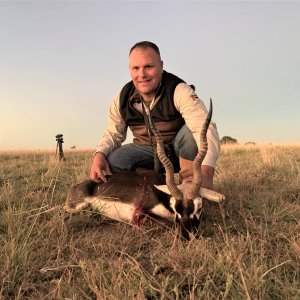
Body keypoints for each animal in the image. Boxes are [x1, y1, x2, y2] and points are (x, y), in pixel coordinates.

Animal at [65, 99, 225, 240]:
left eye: (199, 208)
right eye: (176, 209)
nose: (188, 236)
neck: (161, 197)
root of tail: (75, 187)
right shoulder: (142, 213)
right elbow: (168, 223)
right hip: (77, 208)